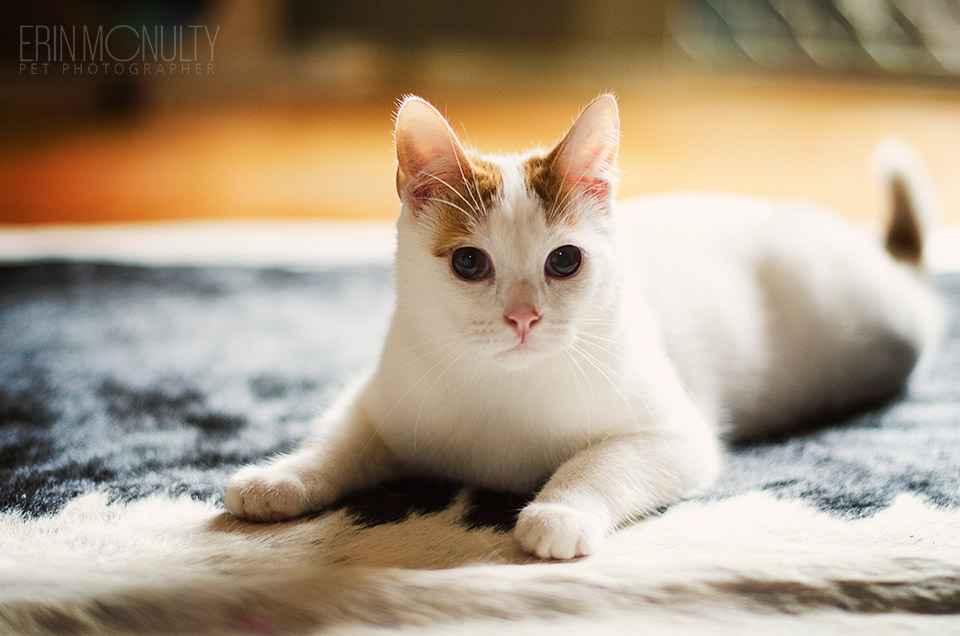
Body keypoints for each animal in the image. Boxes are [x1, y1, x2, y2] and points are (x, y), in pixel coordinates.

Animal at [223, 93, 936, 556]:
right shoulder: (381, 399)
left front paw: (560, 512)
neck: (505, 392)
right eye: (468, 262)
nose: (522, 317)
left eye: (564, 261)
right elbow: (341, 438)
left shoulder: (674, 435)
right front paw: (283, 477)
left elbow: (601, 464)